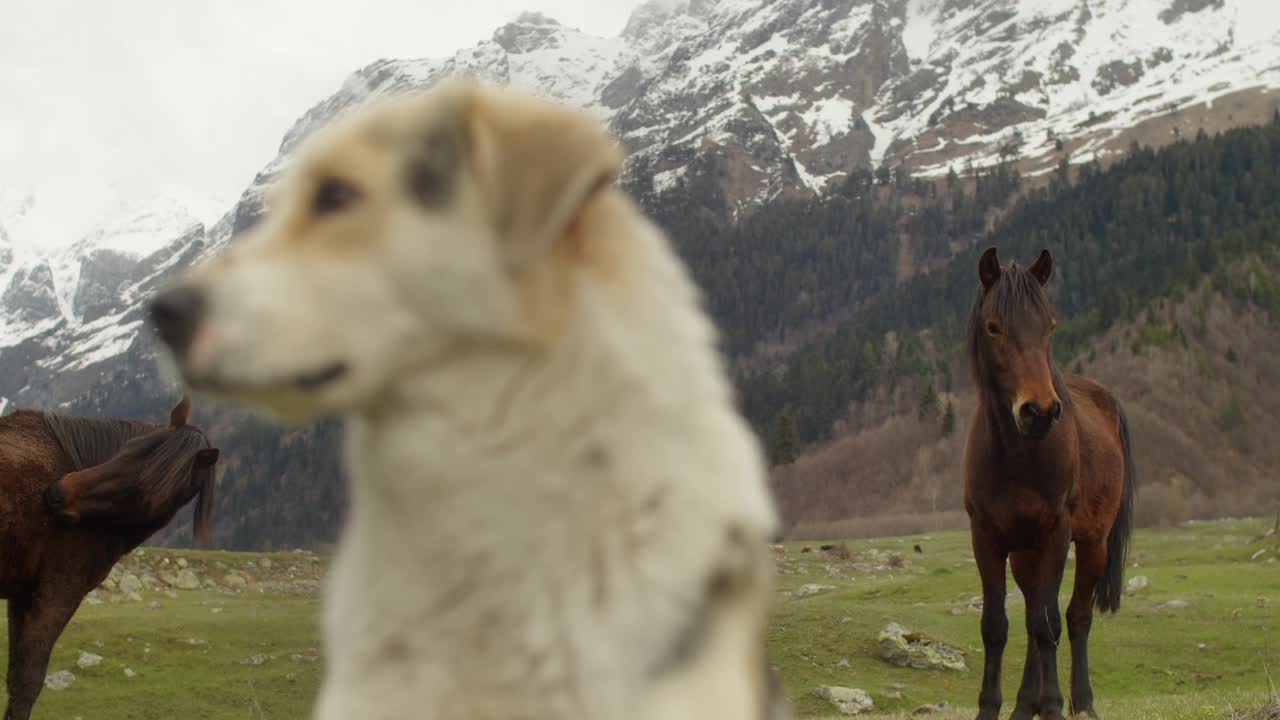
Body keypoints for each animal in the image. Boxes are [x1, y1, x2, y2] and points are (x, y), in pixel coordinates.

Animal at [0, 394, 217, 712]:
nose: (57, 492)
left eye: (149, 492)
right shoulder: (59, 591)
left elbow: (17, 676)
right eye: (128, 449)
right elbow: (27, 681)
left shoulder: (24, 594)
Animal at [962, 248, 1136, 717]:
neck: (1018, 457)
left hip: (1092, 544)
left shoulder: (1057, 533)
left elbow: (1049, 624)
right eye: (994, 327)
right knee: (1030, 616)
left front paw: (1055, 704)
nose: (1039, 411)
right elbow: (996, 625)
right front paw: (991, 707)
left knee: (1076, 617)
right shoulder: (986, 536)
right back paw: (1027, 704)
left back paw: (1082, 702)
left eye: (1050, 326)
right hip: (1025, 554)